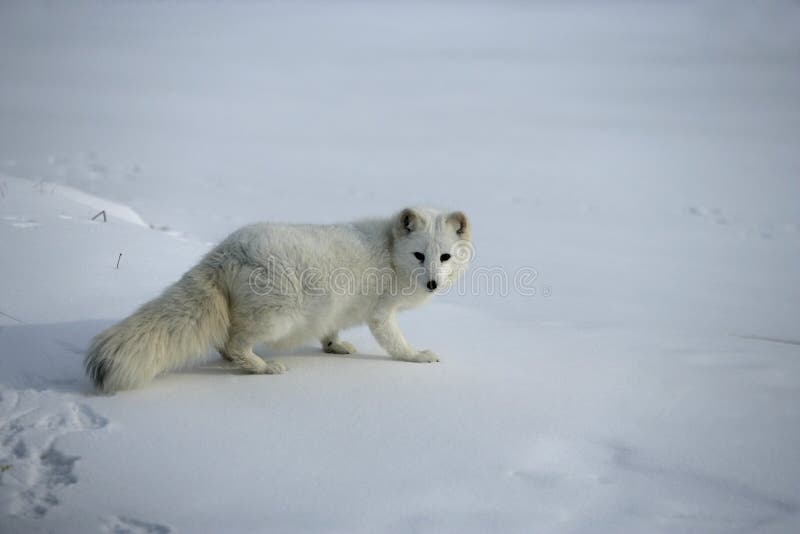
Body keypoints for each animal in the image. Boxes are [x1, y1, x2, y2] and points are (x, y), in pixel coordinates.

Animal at [86, 208, 476, 394]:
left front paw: (334, 347)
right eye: (418, 255)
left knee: (226, 343)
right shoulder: (381, 314)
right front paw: (417, 357)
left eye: (444, 257)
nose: (432, 283)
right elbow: (396, 344)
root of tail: (223, 252)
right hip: (278, 316)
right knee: (235, 342)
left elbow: (330, 331)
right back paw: (263, 368)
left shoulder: (333, 309)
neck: (390, 251)